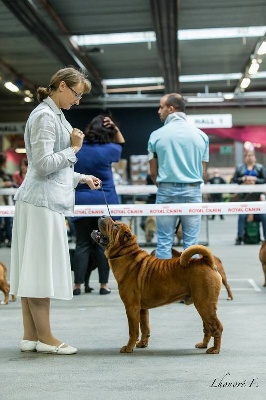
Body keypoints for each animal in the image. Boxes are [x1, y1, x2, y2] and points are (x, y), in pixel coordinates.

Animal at [92, 216, 223, 354]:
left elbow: (133, 330)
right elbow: (145, 327)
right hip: (203, 305)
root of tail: (206, 261)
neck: (125, 254)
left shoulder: (131, 307)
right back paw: (203, 344)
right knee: (207, 327)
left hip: (205, 304)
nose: (102, 216)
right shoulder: (142, 309)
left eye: (116, 226)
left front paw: (128, 347)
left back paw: (215, 349)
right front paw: (142, 343)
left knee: (217, 327)